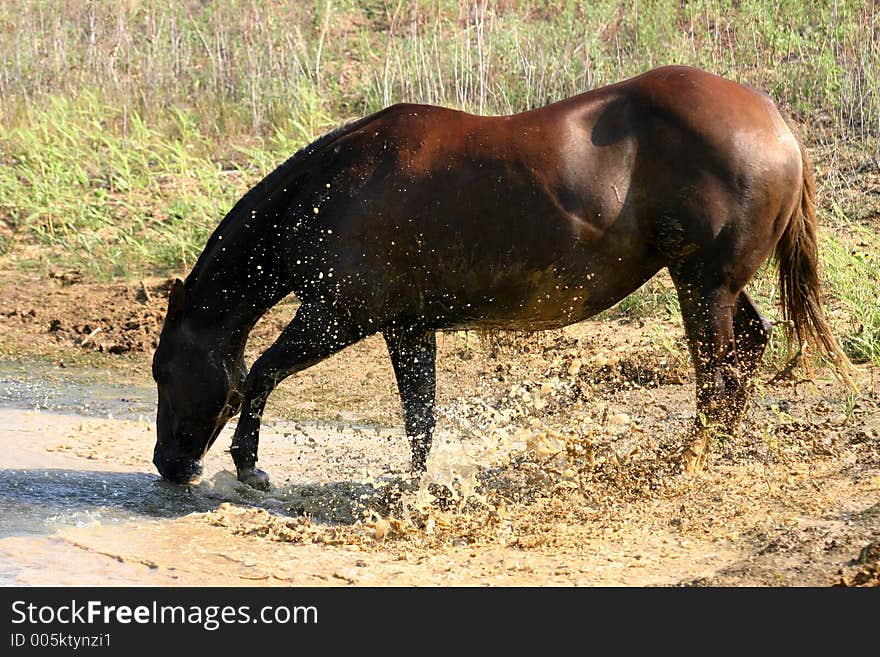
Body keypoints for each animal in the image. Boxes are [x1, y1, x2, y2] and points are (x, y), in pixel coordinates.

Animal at [151, 65, 852, 486]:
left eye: (161, 370)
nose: (168, 465)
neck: (332, 191)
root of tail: (775, 122)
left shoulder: (339, 316)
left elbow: (261, 373)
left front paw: (250, 467)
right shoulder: (406, 328)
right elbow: (420, 416)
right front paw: (414, 489)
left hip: (702, 288)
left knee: (716, 380)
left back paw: (688, 465)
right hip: (713, 286)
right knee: (744, 359)